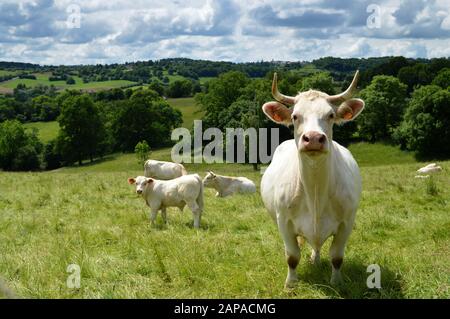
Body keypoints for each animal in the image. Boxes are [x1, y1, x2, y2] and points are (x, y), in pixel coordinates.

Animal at [262, 71, 364, 288]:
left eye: (331, 115)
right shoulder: (284, 222)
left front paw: (337, 282)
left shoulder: (347, 223)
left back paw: (315, 260)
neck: (315, 191)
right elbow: (292, 256)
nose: (314, 138)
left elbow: (337, 257)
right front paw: (290, 284)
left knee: (317, 246)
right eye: (295, 116)